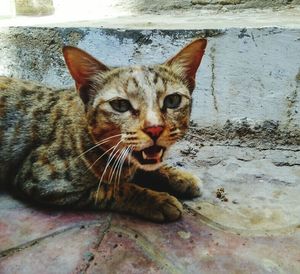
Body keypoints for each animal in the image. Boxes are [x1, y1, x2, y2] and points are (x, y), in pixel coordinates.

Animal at [0, 38, 206, 222]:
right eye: (120, 105)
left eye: (172, 101)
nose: (154, 128)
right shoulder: (42, 180)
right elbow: (114, 189)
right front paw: (157, 200)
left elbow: (150, 167)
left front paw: (180, 176)